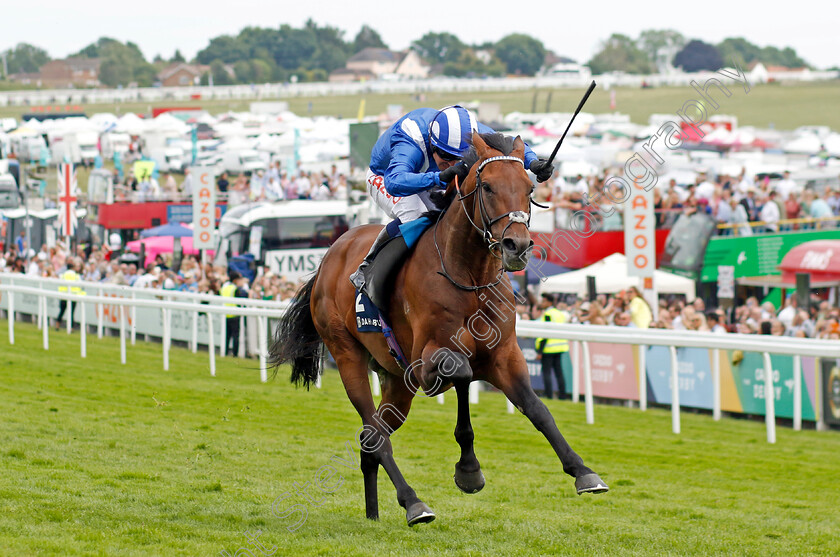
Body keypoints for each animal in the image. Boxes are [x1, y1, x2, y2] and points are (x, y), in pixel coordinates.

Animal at [272, 131, 608, 524]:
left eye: (529, 188)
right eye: (488, 187)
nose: (518, 246)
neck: (470, 276)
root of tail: (329, 256)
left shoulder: (504, 355)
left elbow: (537, 408)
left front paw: (583, 472)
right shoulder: (426, 360)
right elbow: (461, 374)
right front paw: (469, 470)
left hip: (395, 381)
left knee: (371, 437)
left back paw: (374, 514)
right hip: (347, 356)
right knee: (375, 433)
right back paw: (413, 503)